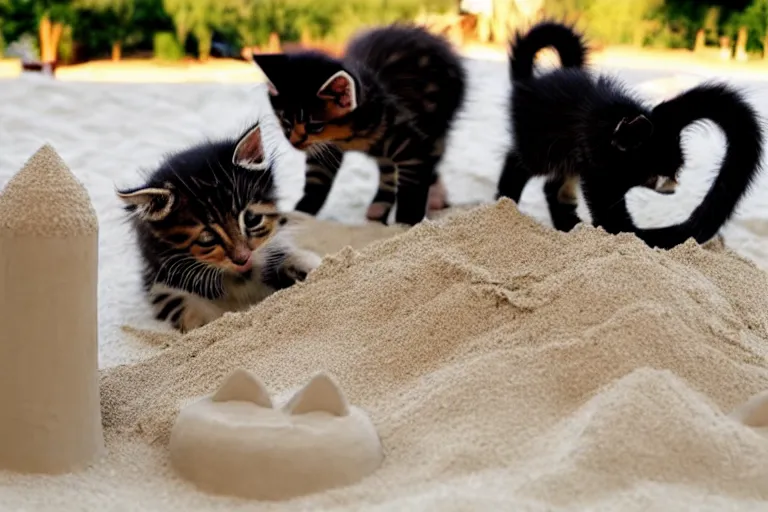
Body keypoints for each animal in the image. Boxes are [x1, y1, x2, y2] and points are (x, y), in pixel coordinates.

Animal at [117, 122, 320, 334]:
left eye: (252, 220)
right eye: (207, 239)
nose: (243, 259)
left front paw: (307, 264)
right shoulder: (158, 280)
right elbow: (186, 306)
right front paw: (209, 322)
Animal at [246, 22, 464, 226]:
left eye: (315, 125)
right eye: (285, 120)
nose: (294, 142)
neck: (350, 136)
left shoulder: (410, 142)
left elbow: (412, 186)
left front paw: (406, 225)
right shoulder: (325, 150)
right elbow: (316, 180)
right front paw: (299, 214)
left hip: (437, 123)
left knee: (432, 158)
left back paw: (435, 197)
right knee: (387, 167)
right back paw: (379, 206)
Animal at [496, 21, 764, 249]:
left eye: (677, 171)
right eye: (658, 173)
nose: (674, 187)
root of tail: (527, 83)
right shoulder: (601, 174)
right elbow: (611, 214)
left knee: (553, 186)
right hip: (539, 144)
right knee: (519, 163)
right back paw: (507, 202)